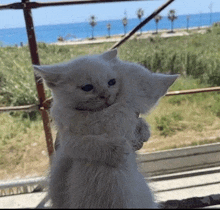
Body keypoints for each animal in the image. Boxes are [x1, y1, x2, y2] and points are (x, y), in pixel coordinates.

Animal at [33, 48, 178, 208]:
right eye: (87, 88)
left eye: (112, 82)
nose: (106, 95)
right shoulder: (68, 140)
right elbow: (87, 144)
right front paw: (116, 151)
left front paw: (143, 130)